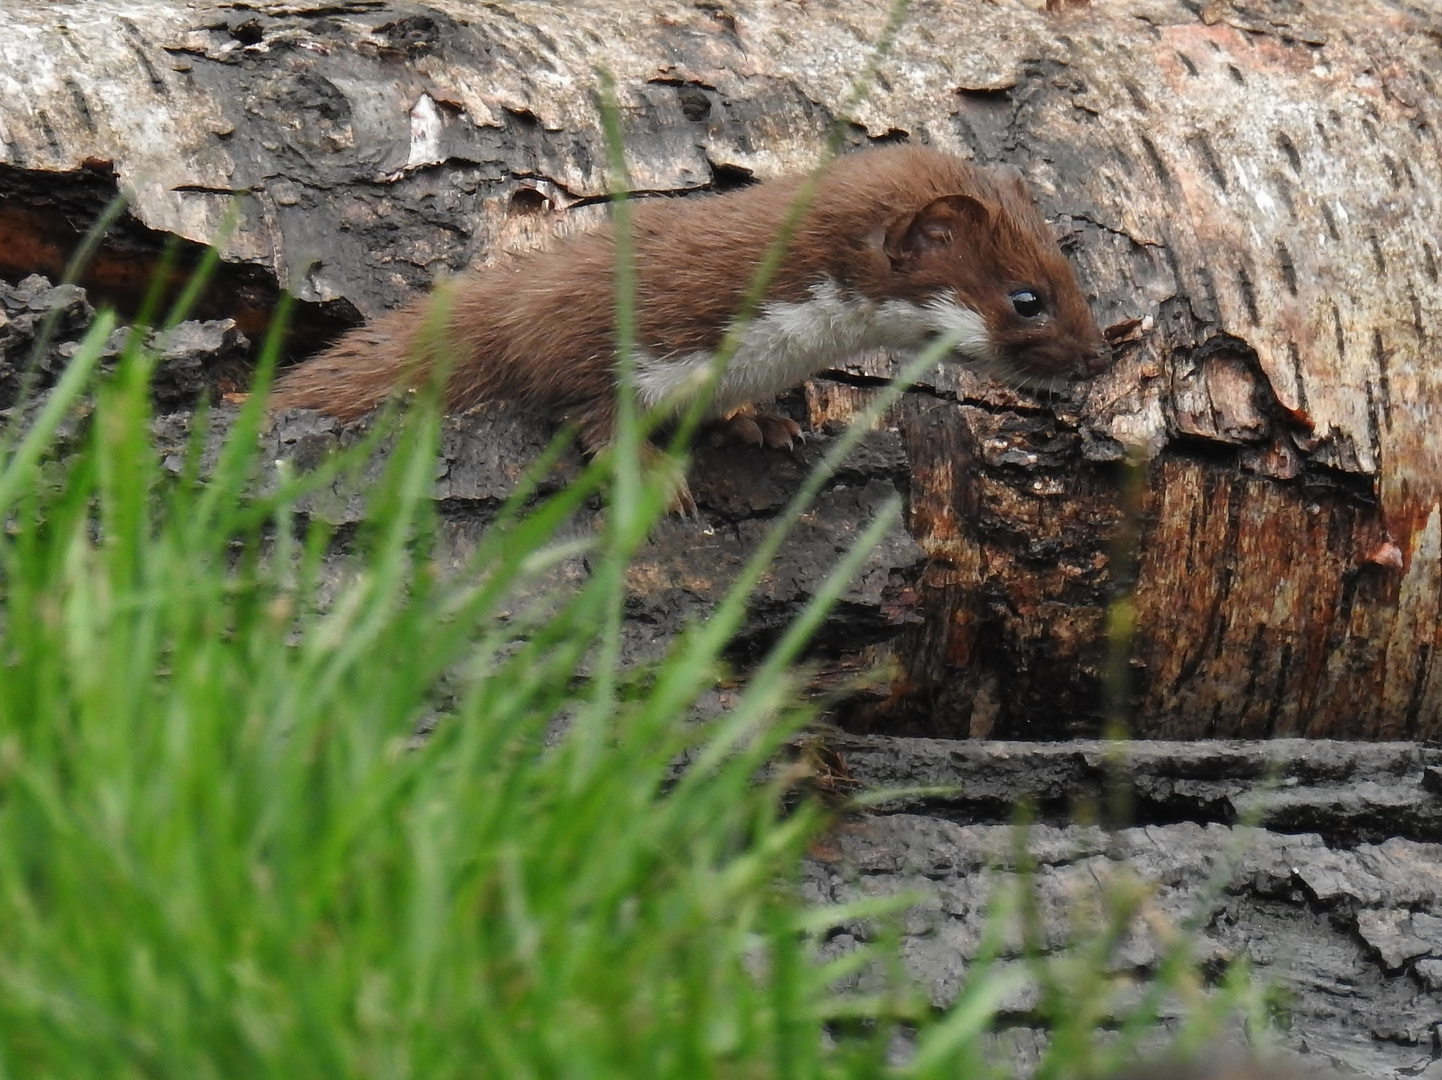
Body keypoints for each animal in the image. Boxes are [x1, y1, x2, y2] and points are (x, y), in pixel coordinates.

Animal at [271, 142, 1101, 458]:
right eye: (1027, 299)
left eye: (1070, 273)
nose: (1096, 356)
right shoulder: (574, 326)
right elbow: (588, 404)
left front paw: (759, 423)